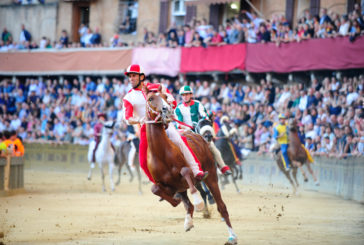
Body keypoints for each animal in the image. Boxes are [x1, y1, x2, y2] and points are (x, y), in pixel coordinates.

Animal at [144, 85, 237, 244]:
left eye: (165, 96)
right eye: (151, 98)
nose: (167, 109)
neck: (161, 153)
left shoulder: (189, 173)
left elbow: (186, 172)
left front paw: (199, 203)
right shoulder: (167, 183)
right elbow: (155, 189)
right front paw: (177, 203)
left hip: (212, 176)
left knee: (221, 207)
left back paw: (232, 237)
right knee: (189, 203)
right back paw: (189, 220)